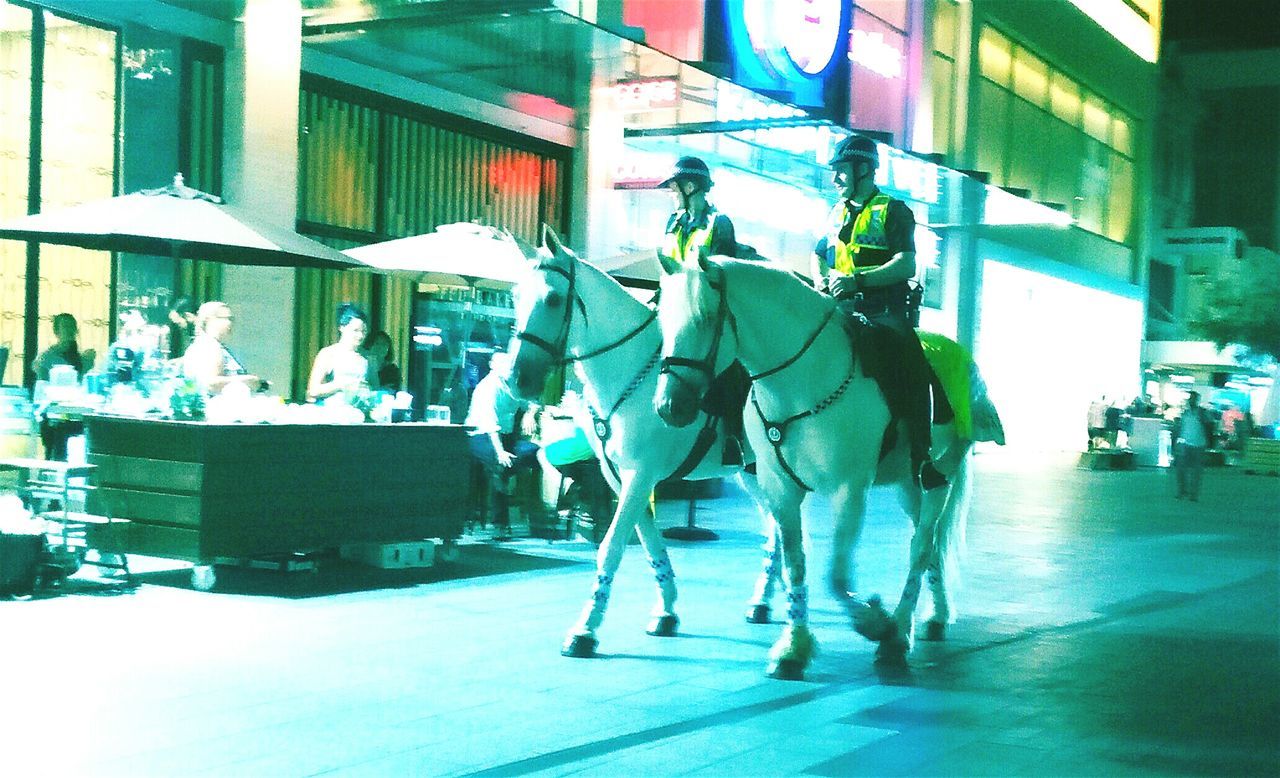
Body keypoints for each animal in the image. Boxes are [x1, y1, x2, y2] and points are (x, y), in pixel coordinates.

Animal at [506, 227, 768, 660]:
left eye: (553, 299)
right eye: (515, 296)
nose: (515, 379)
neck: (632, 371)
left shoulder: (640, 474)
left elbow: (611, 545)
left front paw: (585, 630)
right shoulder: (622, 477)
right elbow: (649, 542)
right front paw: (666, 611)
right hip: (751, 475)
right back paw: (763, 602)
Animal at [660, 258, 998, 675]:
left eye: (707, 318)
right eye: (662, 318)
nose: (669, 406)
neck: (802, 382)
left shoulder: (849, 490)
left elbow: (836, 575)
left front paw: (874, 623)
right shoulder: (781, 490)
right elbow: (795, 565)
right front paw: (793, 648)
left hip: (940, 473)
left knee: (921, 545)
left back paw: (899, 634)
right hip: (907, 485)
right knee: (929, 541)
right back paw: (933, 617)